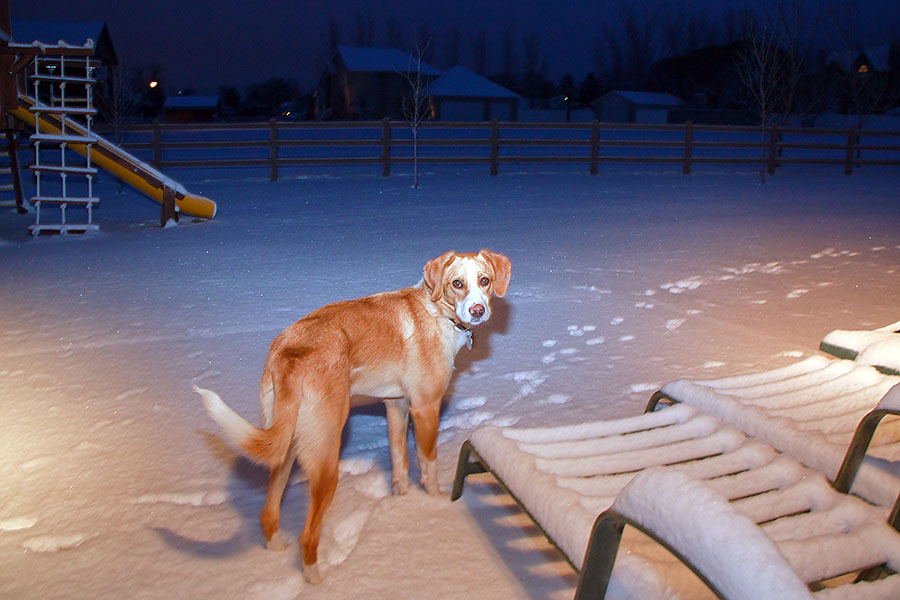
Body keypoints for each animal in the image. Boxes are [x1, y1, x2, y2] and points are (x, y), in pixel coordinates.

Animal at [194, 248, 510, 580]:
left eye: (485, 281)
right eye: (457, 283)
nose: (478, 310)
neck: (436, 311)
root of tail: (292, 353)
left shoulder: (395, 405)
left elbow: (399, 463)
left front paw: (402, 503)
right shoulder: (425, 408)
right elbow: (429, 467)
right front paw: (436, 506)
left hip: (284, 447)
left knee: (268, 512)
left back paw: (276, 549)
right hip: (326, 456)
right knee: (308, 536)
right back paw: (318, 580)